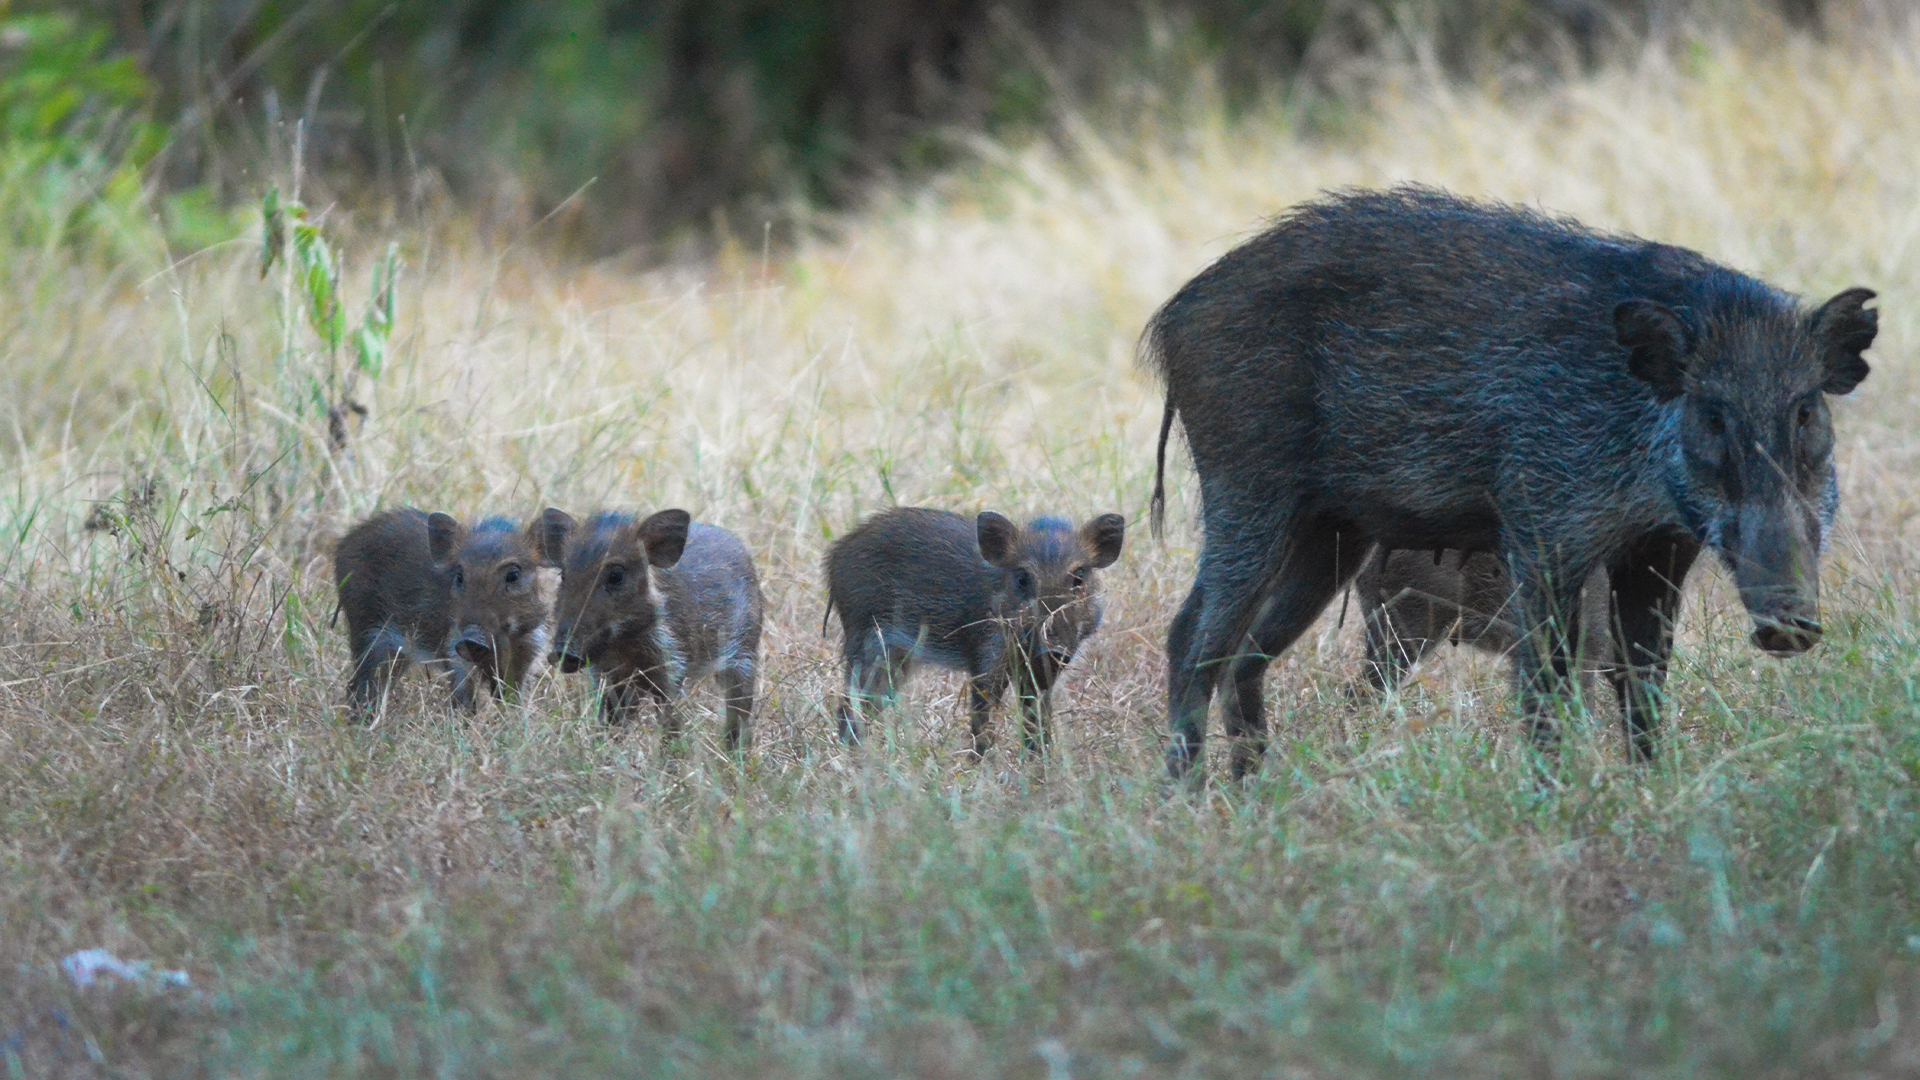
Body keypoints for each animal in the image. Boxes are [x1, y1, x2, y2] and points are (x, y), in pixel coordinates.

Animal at [544, 509, 764, 753]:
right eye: (563, 575)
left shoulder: (672, 669)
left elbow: (671, 724)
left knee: (739, 711)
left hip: (745, 654)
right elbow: (611, 721)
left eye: (616, 575)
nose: (562, 653)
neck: (625, 645)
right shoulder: (608, 677)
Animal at [823, 507, 1126, 758]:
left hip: (896, 658)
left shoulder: (1038, 674)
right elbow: (983, 718)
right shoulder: (987, 658)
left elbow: (1036, 719)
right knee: (849, 705)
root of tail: (834, 558)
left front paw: (1040, 765)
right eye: (1022, 578)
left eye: (1079, 578)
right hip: (867, 641)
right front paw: (981, 767)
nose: (1054, 649)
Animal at [1143, 185, 1876, 779]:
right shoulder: (1545, 530)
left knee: (1246, 656)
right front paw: (1556, 799)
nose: (1790, 626)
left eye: (1806, 410)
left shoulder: (1660, 548)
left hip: (1329, 534)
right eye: (1713, 414)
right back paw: (1187, 797)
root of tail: (1172, 318)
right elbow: (1547, 682)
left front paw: (1651, 787)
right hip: (1247, 489)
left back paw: (1251, 790)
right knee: (1192, 639)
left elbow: (1643, 677)